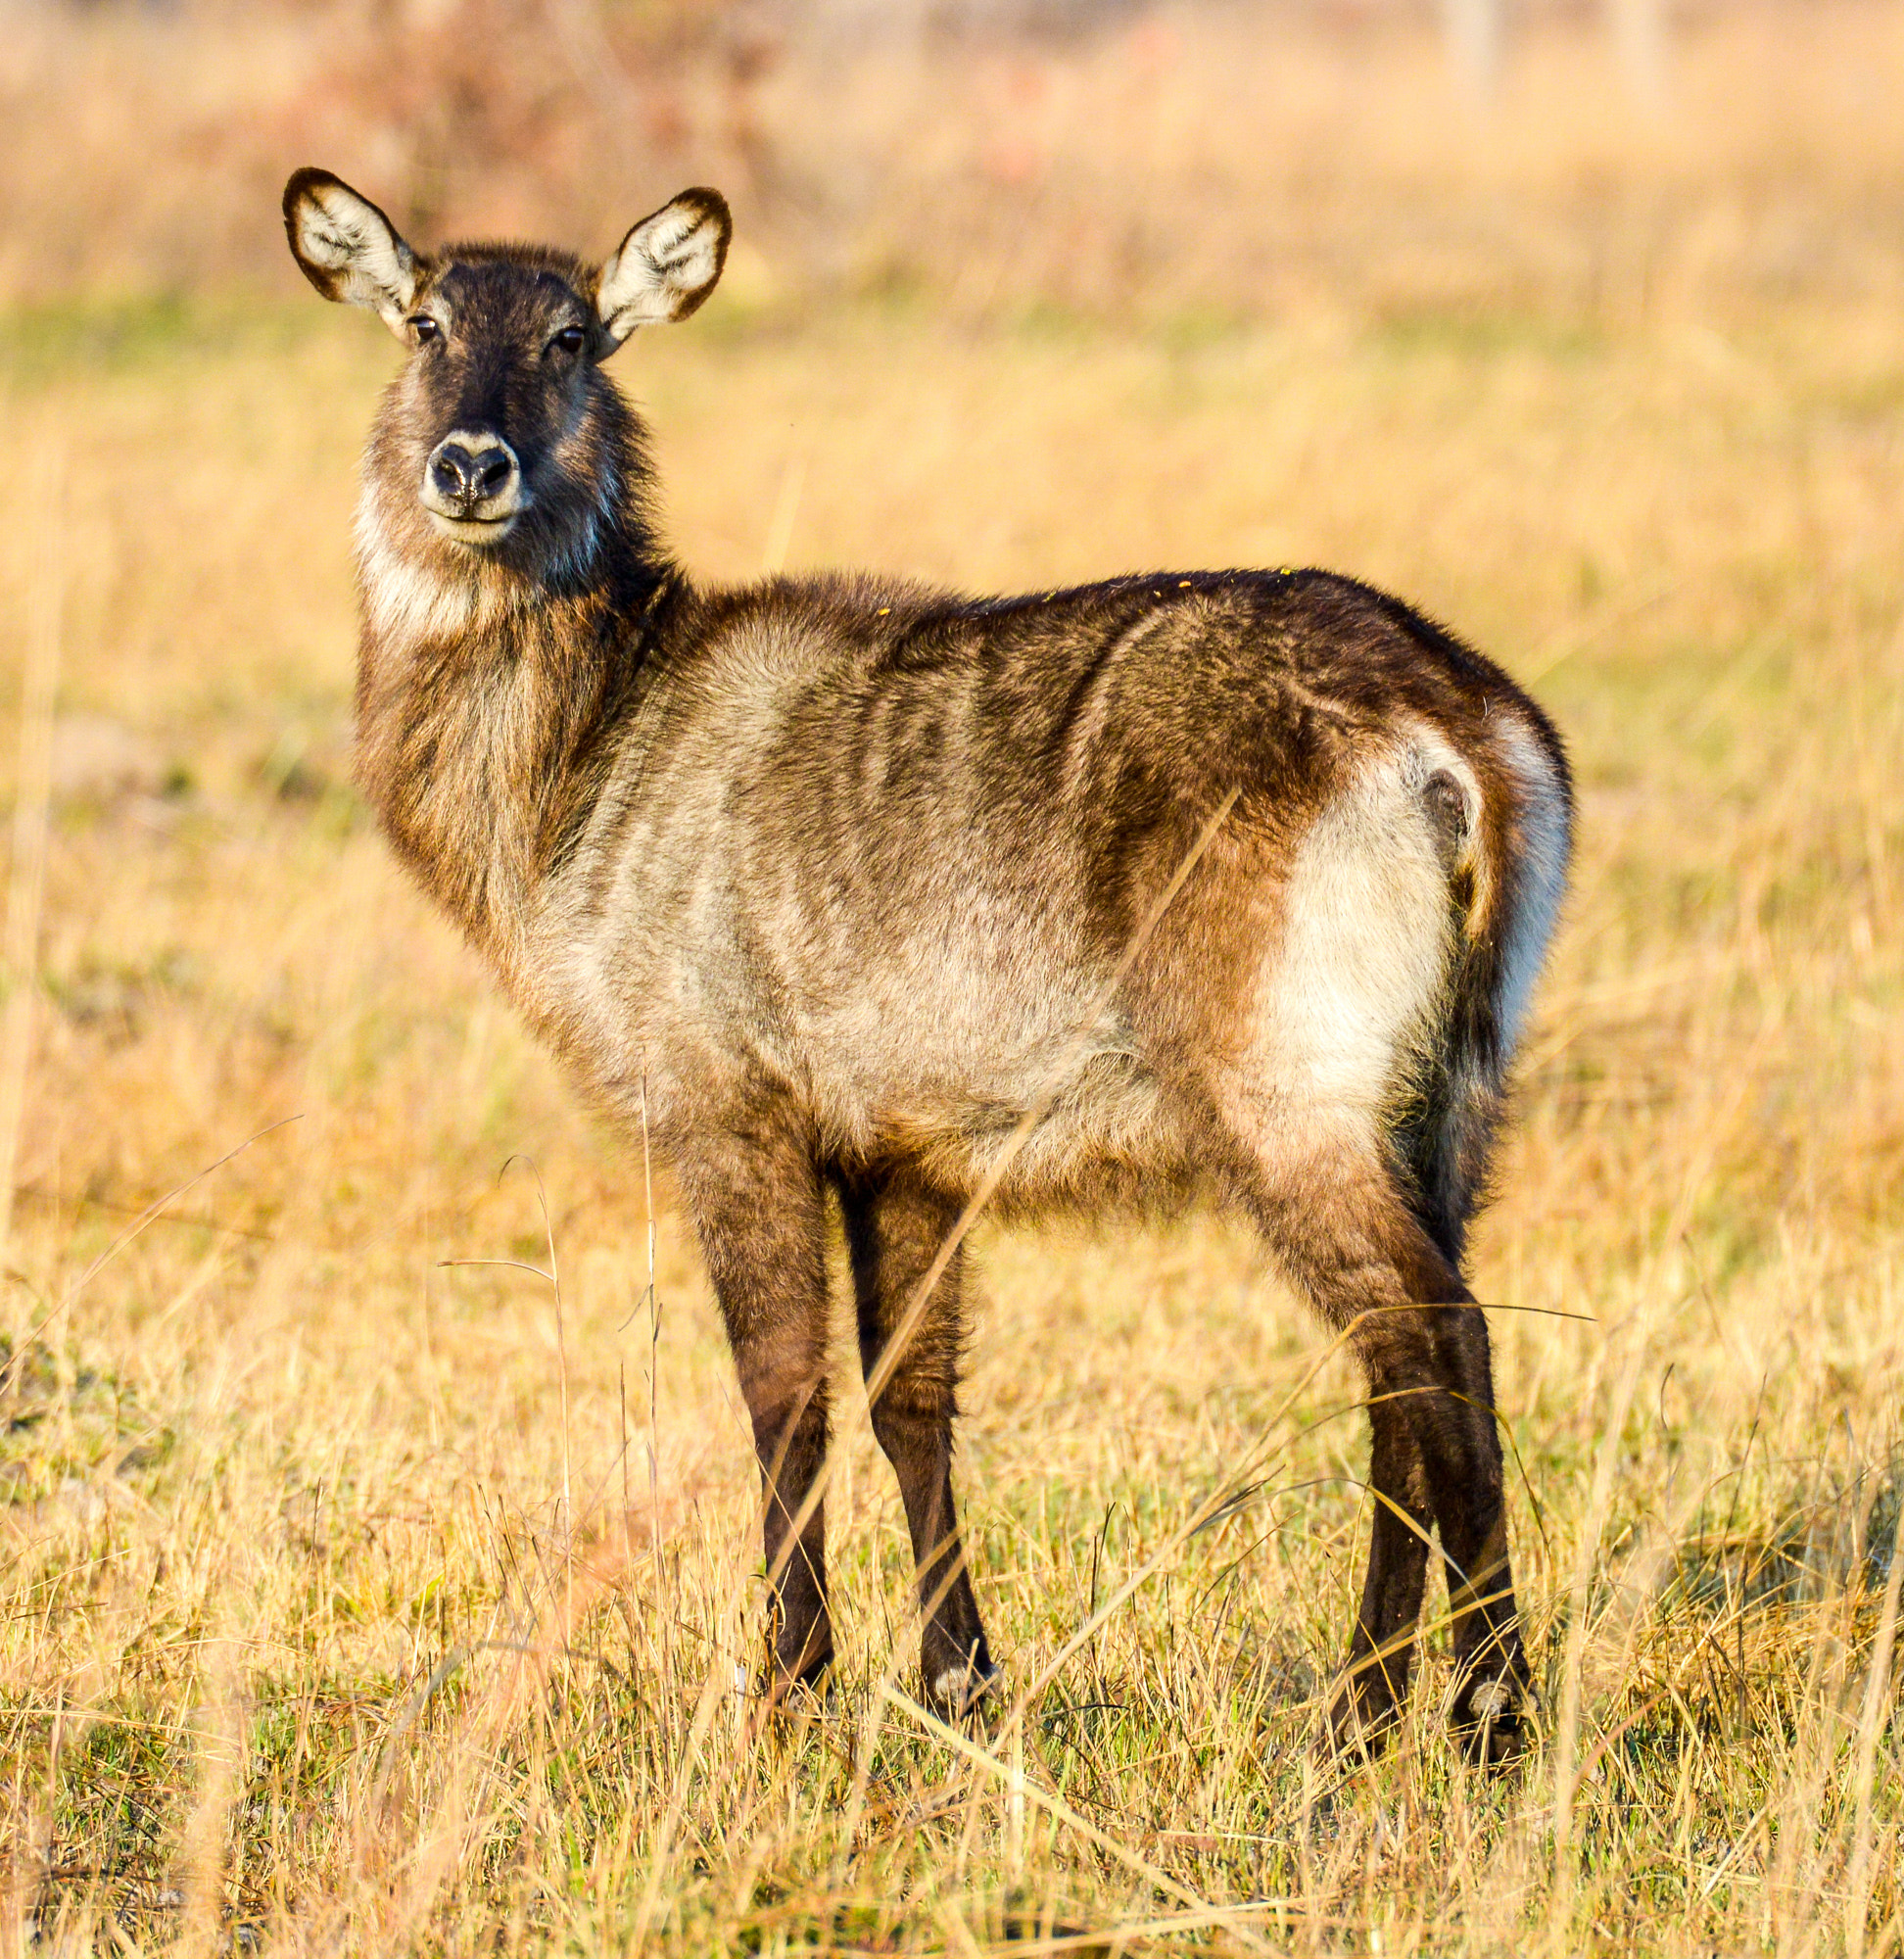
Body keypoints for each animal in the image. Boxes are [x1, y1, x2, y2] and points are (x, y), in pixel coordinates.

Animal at [278, 168, 1559, 1763]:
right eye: (425, 322)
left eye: (575, 337)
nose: (470, 465)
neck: (587, 765)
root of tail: (1456, 730)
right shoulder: (903, 1145)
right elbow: (913, 1399)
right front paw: (960, 1681)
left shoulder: (726, 1104)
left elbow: (784, 1395)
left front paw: (787, 1689)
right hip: (1451, 1092)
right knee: (1427, 1360)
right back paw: (1405, 1703)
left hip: (1289, 1092)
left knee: (1427, 1341)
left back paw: (1447, 1707)